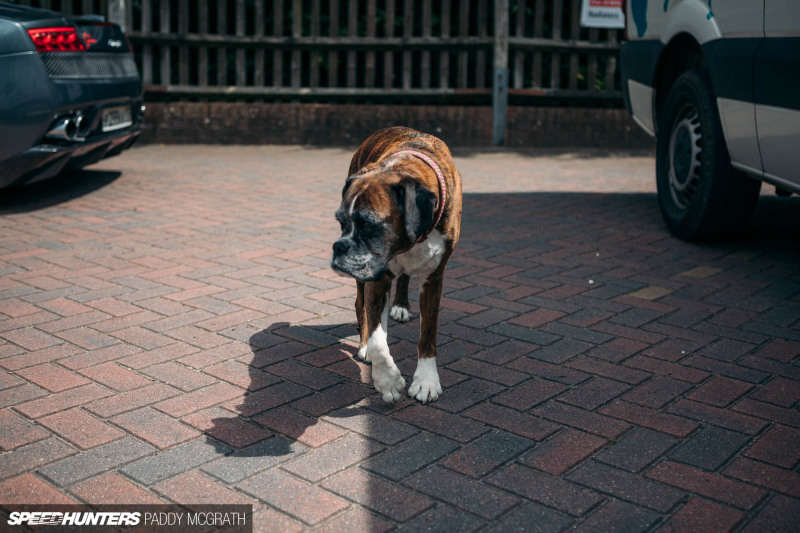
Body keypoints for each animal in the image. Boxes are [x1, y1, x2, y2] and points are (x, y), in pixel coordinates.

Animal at [330, 127, 462, 404]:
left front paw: (426, 381)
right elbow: (378, 339)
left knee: (404, 278)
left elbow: (428, 334)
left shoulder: (434, 278)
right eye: (341, 223)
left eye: (368, 225)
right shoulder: (377, 278)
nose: (339, 246)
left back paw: (401, 306)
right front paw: (388, 380)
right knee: (362, 307)